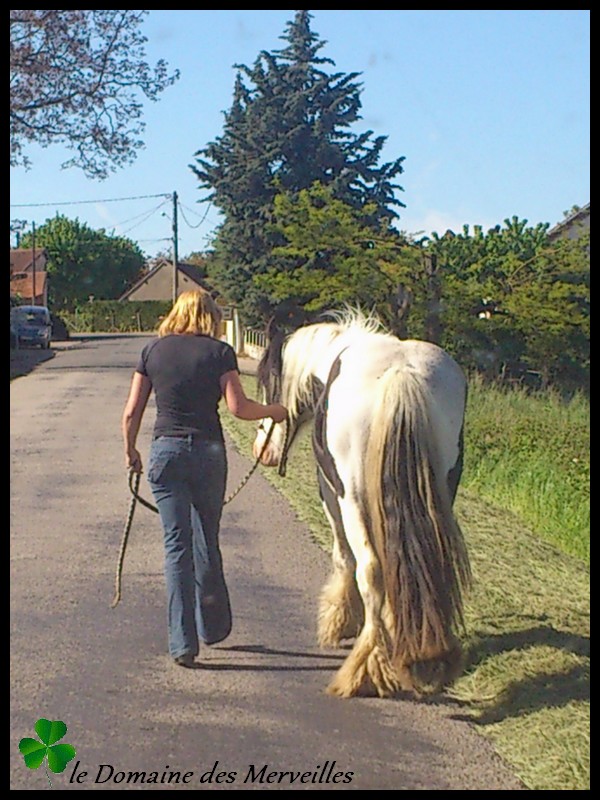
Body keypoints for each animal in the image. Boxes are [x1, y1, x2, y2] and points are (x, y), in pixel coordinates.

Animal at [251, 312, 472, 700]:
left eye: (267, 381)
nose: (261, 451)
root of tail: (401, 372)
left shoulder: (331, 492)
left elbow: (345, 557)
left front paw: (340, 621)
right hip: (441, 489)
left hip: (351, 496)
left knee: (370, 569)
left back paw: (367, 668)